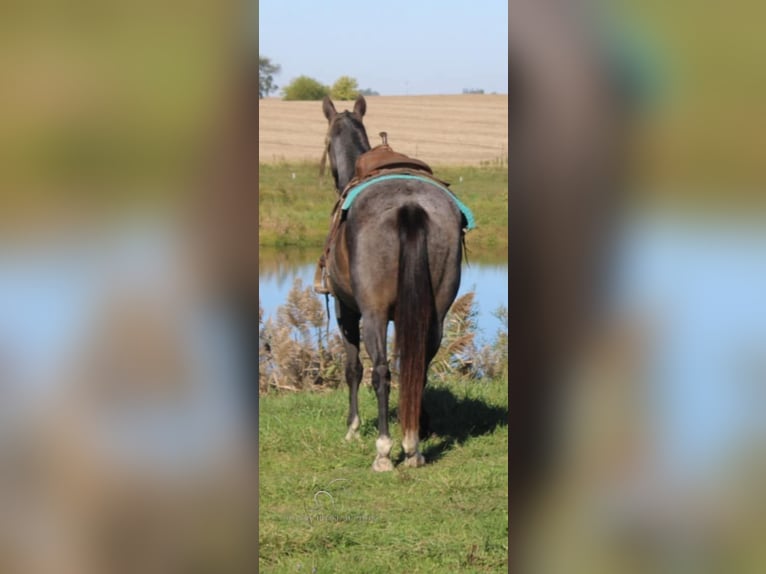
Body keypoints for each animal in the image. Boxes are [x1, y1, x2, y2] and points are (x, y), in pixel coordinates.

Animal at [320, 94, 464, 472]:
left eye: (326, 143)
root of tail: (410, 205)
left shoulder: (345, 310)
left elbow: (353, 368)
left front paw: (352, 429)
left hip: (372, 313)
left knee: (381, 371)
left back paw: (385, 451)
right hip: (435, 314)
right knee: (419, 368)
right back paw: (413, 445)